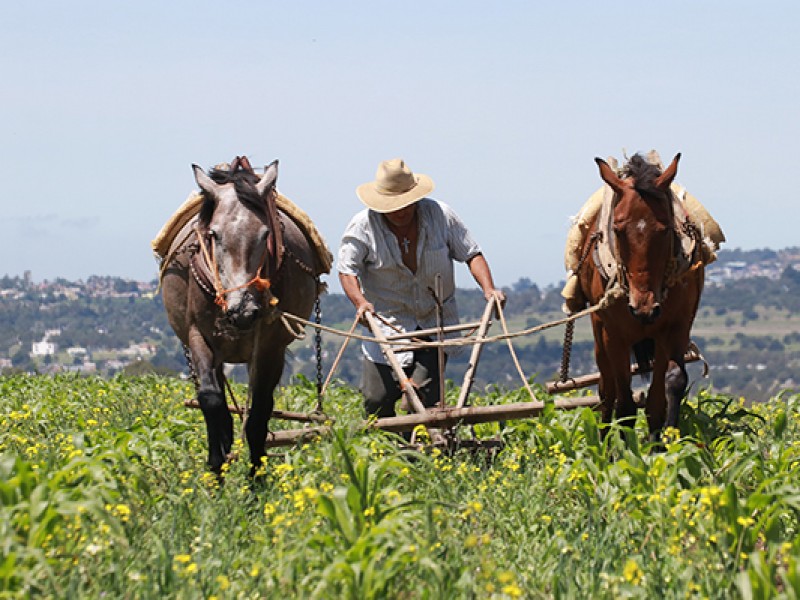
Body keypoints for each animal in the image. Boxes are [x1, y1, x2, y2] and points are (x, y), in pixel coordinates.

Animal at [161, 158, 324, 474]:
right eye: (213, 234)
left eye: (265, 234)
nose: (243, 311)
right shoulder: (199, 336)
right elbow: (211, 400)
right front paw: (216, 467)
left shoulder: (271, 346)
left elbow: (260, 410)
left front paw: (256, 476)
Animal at [580, 151, 704, 440]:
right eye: (618, 229)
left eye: (665, 228)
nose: (644, 308)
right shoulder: (614, 335)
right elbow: (624, 402)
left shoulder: (676, 326)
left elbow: (668, 389)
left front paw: (664, 443)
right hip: (599, 333)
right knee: (607, 390)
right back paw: (602, 442)